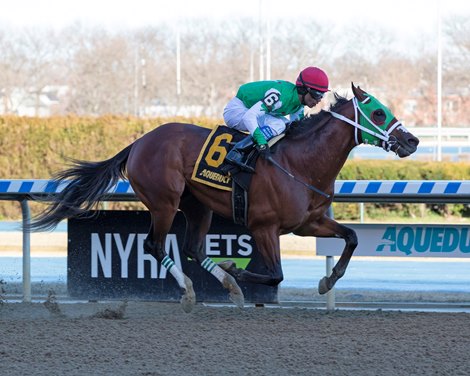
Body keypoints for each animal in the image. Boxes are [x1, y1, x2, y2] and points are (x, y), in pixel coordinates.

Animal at [30, 84, 418, 312]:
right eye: (379, 112)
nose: (412, 141)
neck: (300, 163)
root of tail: (139, 142)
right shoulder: (264, 227)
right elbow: (275, 275)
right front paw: (235, 268)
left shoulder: (310, 222)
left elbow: (351, 237)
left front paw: (328, 279)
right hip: (164, 202)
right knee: (155, 245)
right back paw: (191, 291)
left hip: (197, 206)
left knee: (193, 247)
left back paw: (227, 286)